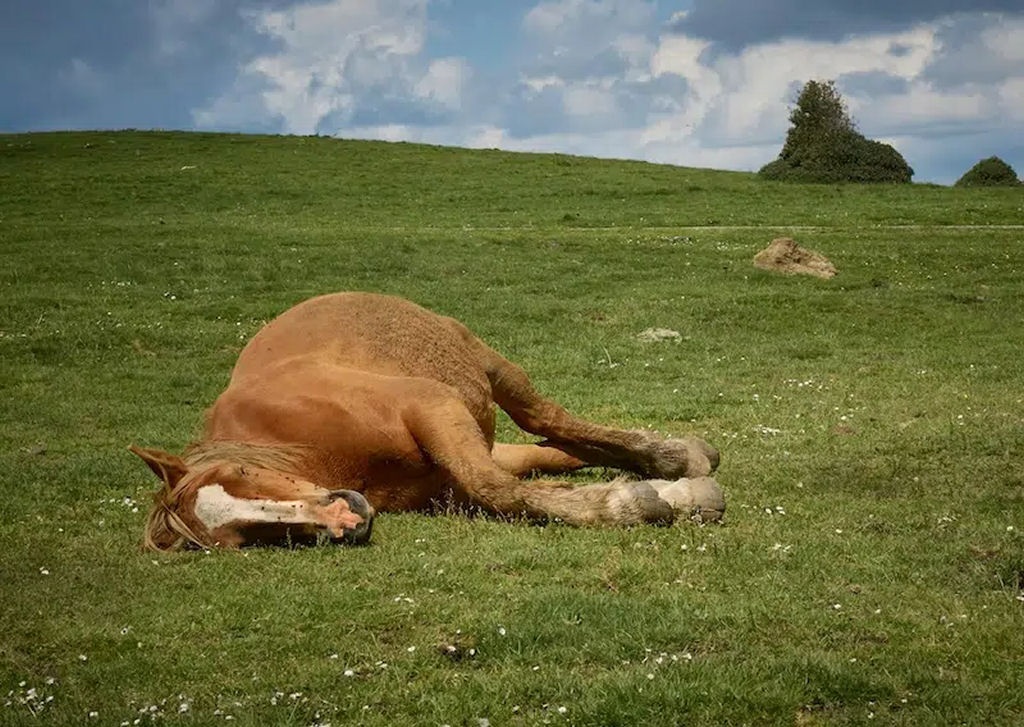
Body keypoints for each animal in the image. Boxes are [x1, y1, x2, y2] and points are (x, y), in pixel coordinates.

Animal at [131, 292, 724, 550]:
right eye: (237, 538)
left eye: (241, 475)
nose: (344, 518)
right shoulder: (449, 473)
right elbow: (514, 485)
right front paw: (662, 496)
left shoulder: (431, 404)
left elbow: (498, 488)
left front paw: (636, 501)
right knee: (552, 446)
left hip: (489, 370)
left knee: (547, 418)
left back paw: (675, 457)